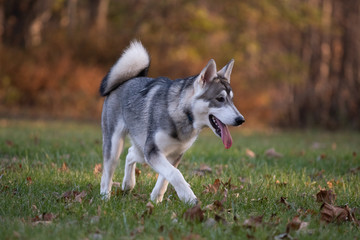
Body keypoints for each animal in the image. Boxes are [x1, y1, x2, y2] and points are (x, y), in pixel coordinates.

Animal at [98, 40, 245, 204]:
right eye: (220, 99)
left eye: (231, 100)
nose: (241, 120)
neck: (183, 114)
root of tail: (130, 78)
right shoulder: (152, 151)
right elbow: (175, 174)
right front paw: (189, 197)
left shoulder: (173, 155)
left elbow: (165, 178)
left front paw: (155, 199)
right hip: (115, 145)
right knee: (107, 173)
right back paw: (105, 197)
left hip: (141, 148)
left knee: (130, 154)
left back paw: (128, 183)